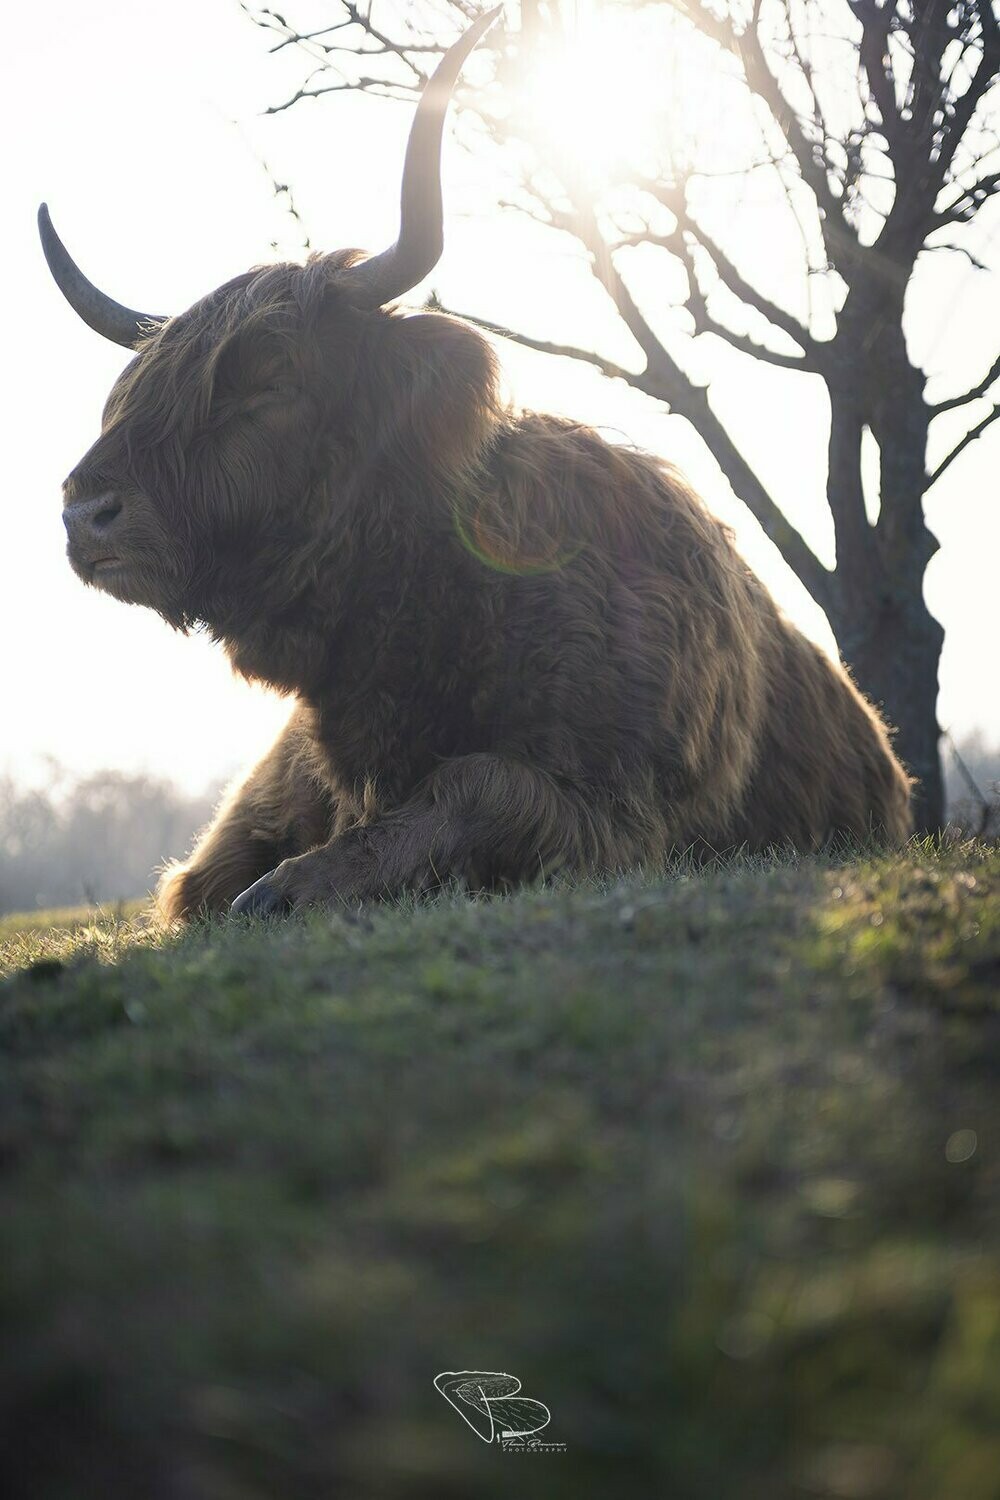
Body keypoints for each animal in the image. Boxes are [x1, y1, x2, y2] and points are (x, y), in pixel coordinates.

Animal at [41, 8, 917, 924]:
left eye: (271, 380)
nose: (83, 511)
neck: (435, 595)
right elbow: (198, 882)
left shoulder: (619, 817)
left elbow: (476, 788)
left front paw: (285, 890)